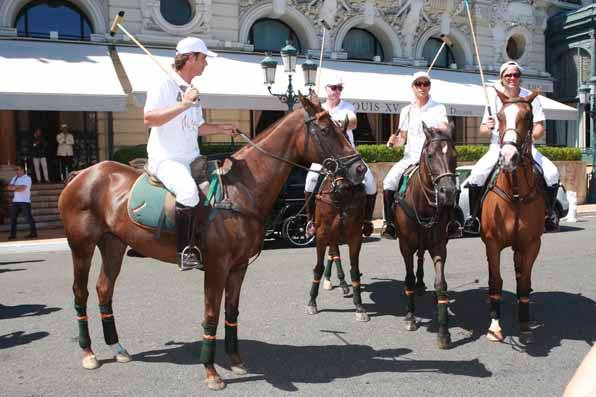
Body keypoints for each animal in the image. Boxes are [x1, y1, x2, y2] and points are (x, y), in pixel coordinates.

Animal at [308, 175, 368, 320]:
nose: (343, 187)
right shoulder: (322, 234)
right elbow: (318, 268)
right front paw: (312, 302)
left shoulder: (355, 236)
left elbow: (354, 270)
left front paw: (359, 306)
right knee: (334, 254)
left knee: (333, 254)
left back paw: (341, 283)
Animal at [396, 123, 456, 346]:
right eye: (430, 155)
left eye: (455, 155)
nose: (448, 192)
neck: (422, 206)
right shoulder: (405, 246)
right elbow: (408, 279)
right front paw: (410, 317)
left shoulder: (439, 247)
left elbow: (441, 285)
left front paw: (444, 331)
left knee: (421, 256)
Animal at [480, 89, 544, 344]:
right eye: (498, 116)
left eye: (528, 116)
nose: (508, 157)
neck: (515, 193)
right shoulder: (492, 243)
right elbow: (495, 280)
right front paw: (494, 325)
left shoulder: (532, 243)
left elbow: (524, 280)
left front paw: (524, 323)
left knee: (519, 274)